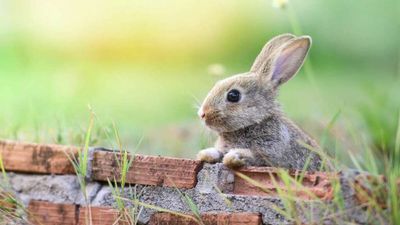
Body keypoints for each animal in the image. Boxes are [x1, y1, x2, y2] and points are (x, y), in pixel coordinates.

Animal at [197, 33, 322, 171]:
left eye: (233, 95)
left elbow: (255, 156)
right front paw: (206, 154)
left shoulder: (271, 151)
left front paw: (234, 157)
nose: (202, 114)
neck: (254, 123)